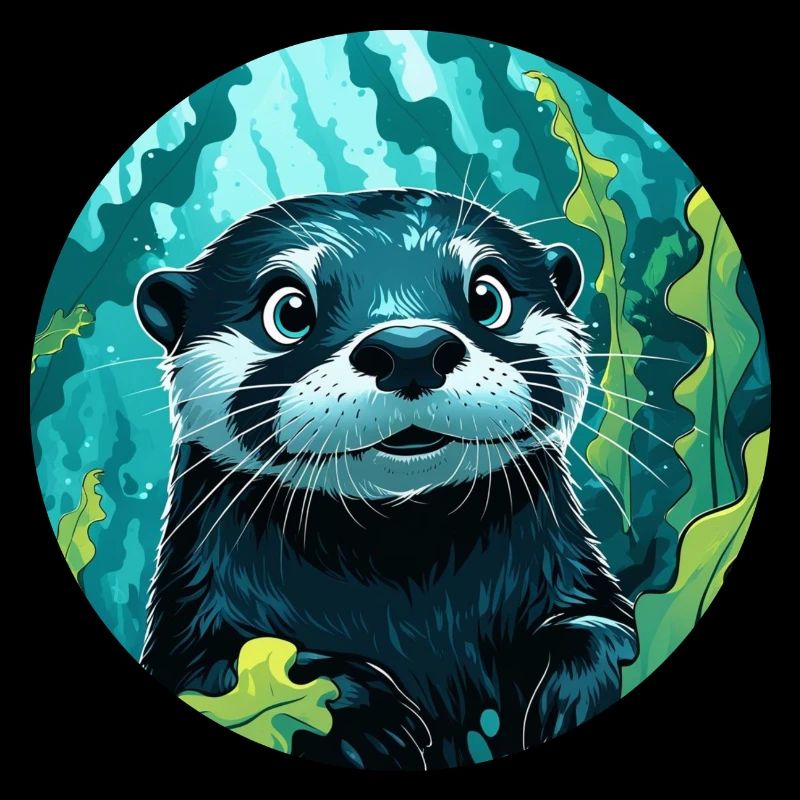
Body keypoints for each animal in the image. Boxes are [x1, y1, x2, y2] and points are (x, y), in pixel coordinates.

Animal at [136, 188, 636, 769]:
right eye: (289, 310)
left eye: (487, 296)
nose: (411, 348)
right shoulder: (195, 615)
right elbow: (221, 668)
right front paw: (363, 716)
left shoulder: (568, 571)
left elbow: (599, 624)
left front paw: (570, 694)